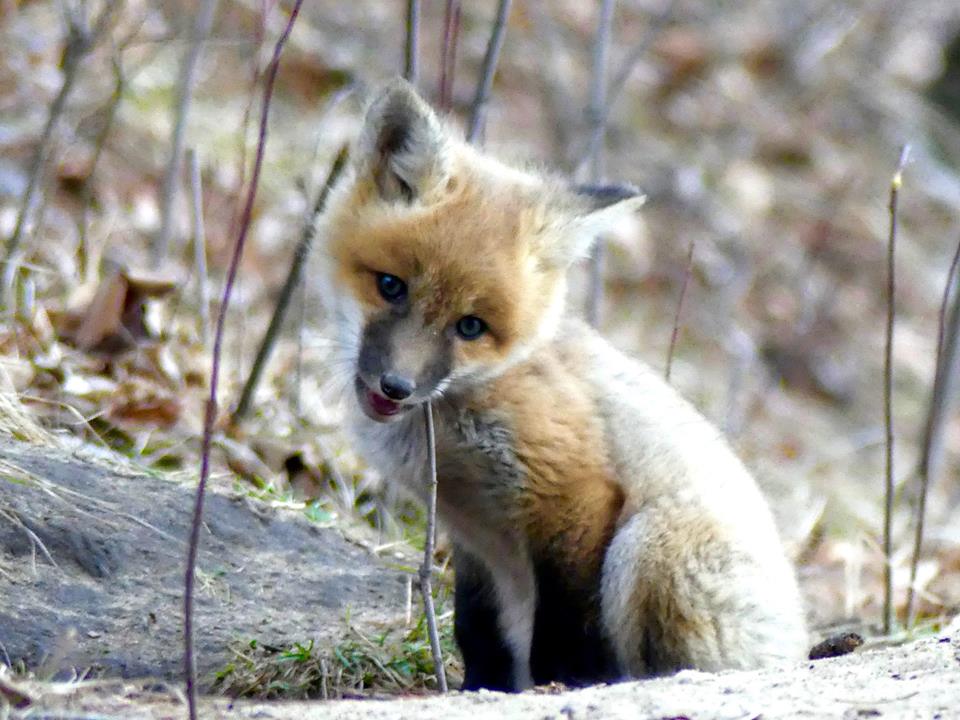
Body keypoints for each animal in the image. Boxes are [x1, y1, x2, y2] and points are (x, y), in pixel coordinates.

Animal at [316, 80, 808, 692]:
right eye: (391, 286)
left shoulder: (573, 492)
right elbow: (478, 631)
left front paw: (567, 683)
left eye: (470, 327)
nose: (397, 386)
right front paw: (483, 687)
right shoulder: (474, 540)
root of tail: (798, 648)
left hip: (649, 545)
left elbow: (568, 628)